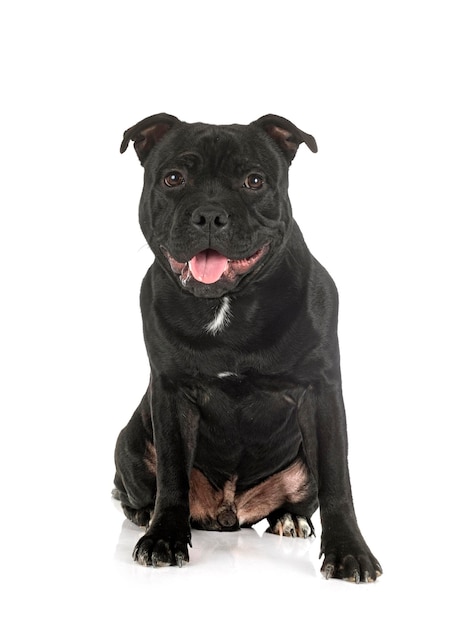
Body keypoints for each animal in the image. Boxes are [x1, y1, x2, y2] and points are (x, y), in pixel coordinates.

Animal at [112, 112, 380, 580]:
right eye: (173, 178)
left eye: (254, 180)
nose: (209, 214)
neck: (225, 303)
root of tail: (228, 512)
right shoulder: (171, 392)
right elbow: (172, 474)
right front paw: (164, 537)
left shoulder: (321, 391)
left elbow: (337, 478)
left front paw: (349, 552)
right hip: (128, 441)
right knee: (139, 489)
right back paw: (144, 515)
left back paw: (290, 518)